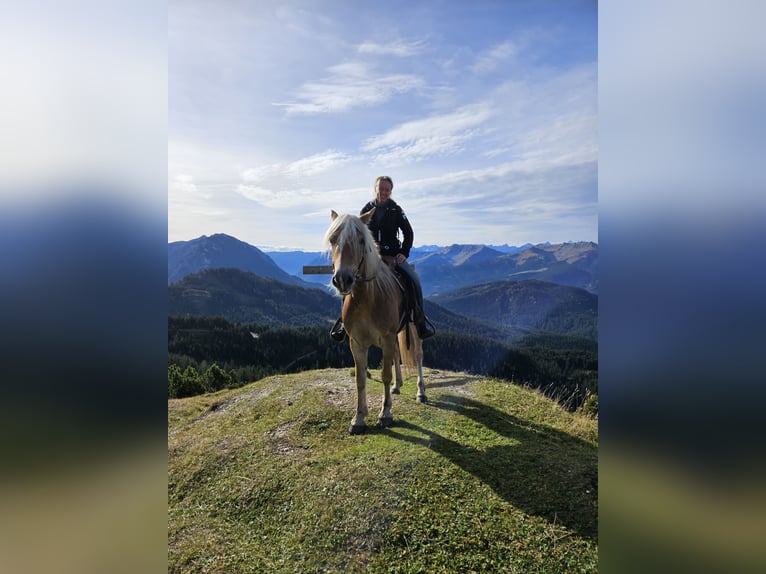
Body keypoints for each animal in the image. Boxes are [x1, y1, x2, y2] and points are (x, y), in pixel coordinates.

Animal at [326, 209, 428, 434]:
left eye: (361, 240)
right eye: (332, 239)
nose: (342, 280)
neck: (366, 298)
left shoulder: (387, 337)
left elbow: (385, 374)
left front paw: (385, 414)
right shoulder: (356, 342)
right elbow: (360, 378)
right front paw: (358, 419)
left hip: (413, 327)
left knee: (417, 355)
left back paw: (421, 392)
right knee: (397, 355)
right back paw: (398, 386)